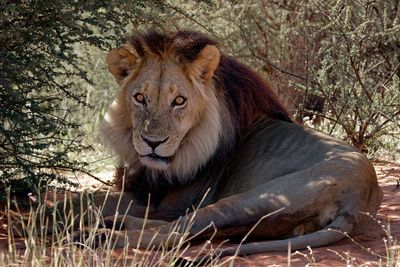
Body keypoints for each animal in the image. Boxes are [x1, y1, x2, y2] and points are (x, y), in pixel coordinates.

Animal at [86, 30, 382, 258]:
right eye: (139, 98)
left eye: (179, 101)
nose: (152, 143)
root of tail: (360, 202)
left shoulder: (173, 201)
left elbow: (92, 199)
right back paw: (113, 223)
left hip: (249, 200)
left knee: (177, 232)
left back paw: (100, 235)